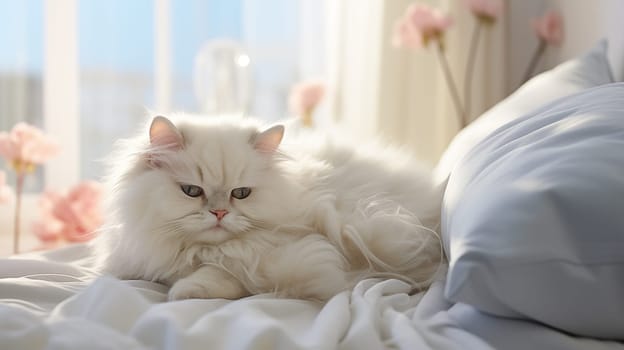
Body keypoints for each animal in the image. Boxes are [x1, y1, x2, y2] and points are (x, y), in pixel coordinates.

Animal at [95, 115, 442, 300]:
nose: (219, 213)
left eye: (241, 193)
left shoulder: (290, 253)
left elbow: (222, 271)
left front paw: (183, 291)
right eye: (192, 191)